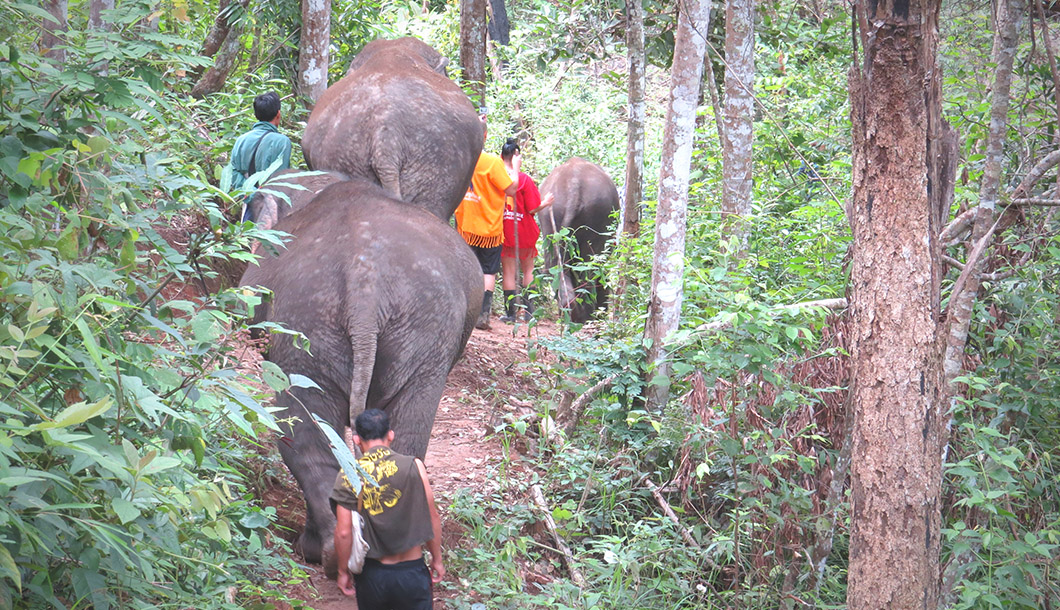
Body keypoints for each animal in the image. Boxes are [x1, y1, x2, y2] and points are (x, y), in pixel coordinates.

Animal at [538, 157, 619, 324]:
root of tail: (573, 187)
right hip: (597, 216)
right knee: (589, 267)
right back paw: (587, 318)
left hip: (550, 215)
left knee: (555, 265)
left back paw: (569, 312)